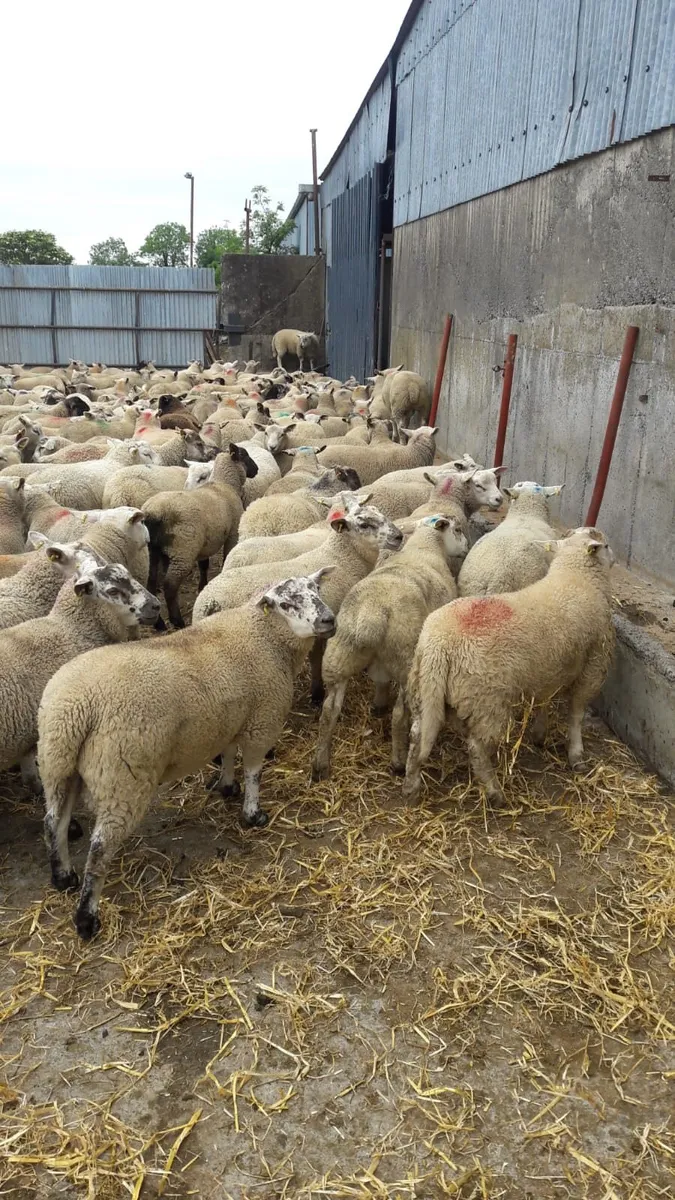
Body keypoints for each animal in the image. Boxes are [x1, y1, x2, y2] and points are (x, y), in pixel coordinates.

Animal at [38, 571, 335, 938]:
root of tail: (77, 707)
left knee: (55, 822)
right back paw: (86, 918)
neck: (263, 635)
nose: (329, 620)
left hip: (58, 764)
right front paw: (253, 815)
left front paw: (226, 786)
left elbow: (227, 753)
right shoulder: (262, 720)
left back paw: (63, 876)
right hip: (123, 777)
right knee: (99, 848)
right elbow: (253, 770)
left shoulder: (230, 715)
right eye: (285, 603)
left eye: (317, 590)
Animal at [142, 444, 258, 627]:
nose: (257, 469)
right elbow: (226, 556)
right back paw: (177, 621)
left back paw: (159, 623)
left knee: (151, 583)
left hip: (152, 550)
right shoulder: (232, 533)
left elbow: (204, 565)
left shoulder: (206, 542)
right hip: (184, 550)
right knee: (170, 586)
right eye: (244, 455)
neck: (224, 484)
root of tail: (153, 513)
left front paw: (202, 586)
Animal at [193, 496, 403, 701]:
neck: (343, 558)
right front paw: (317, 693)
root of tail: (209, 601)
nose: (399, 536)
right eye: (365, 525)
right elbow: (317, 658)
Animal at [312, 514, 469, 780]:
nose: (467, 546)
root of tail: (370, 616)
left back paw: (320, 765)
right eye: (457, 529)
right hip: (406, 661)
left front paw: (378, 703)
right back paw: (397, 762)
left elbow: (380, 681)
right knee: (399, 716)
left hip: (338, 658)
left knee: (328, 712)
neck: (424, 547)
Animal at [402, 527, 616, 805]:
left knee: (418, 736)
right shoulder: (594, 664)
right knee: (477, 749)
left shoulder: (552, 665)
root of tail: (439, 644)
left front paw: (540, 734)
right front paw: (576, 755)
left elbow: (545, 700)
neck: (576, 575)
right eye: (607, 546)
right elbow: (576, 713)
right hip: (487, 700)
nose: (615, 559)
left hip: (425, 686)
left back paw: (411, 784)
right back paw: (495, 792)